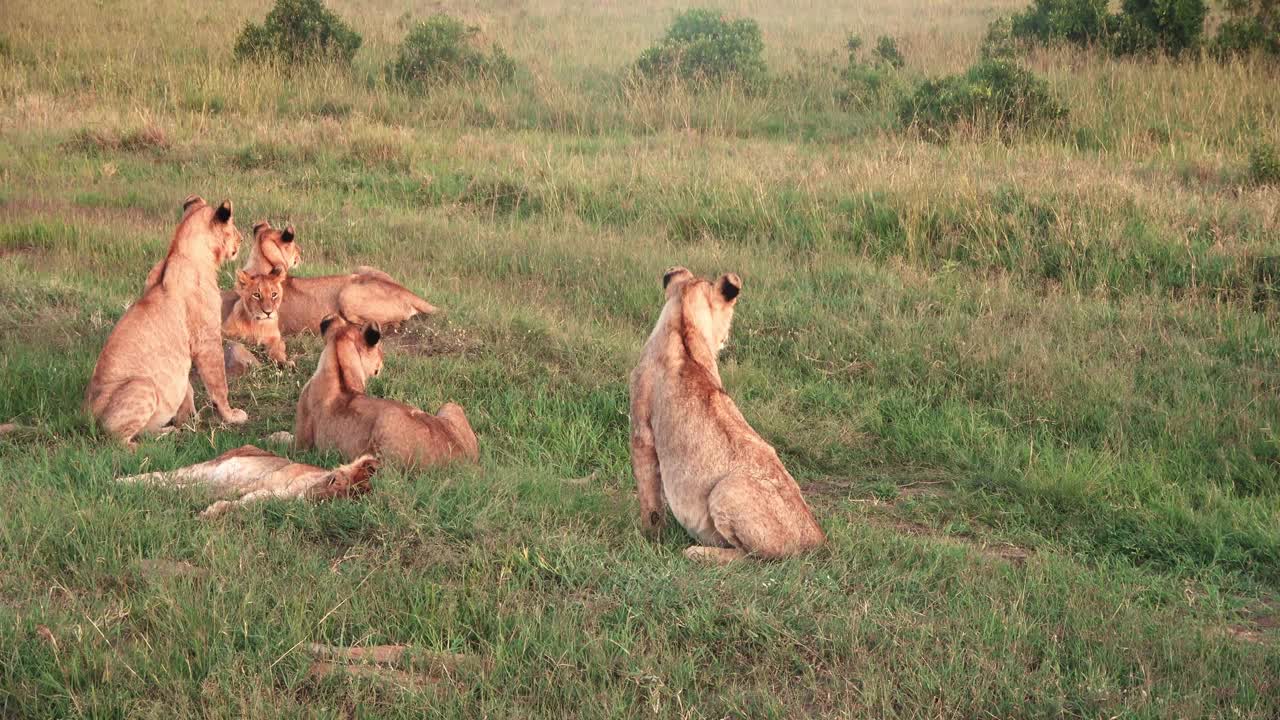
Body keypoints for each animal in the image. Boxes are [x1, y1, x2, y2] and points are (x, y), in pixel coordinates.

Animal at [87, 194, 249, 443]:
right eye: (232, 228)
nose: (241, 239)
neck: (179, 250)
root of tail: (84, 415)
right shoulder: (207, 340)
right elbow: (219, 383)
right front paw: (231, 416)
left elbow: (187, 388)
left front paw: (189, 418)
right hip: (143, 386)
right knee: (118, 440)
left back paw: (169, 430)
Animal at [293, 313, 478, 466]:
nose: (382, 361)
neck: (339, 365)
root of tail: (463, 462)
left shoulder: (302, 446)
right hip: (450, 405)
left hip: (387, 421)